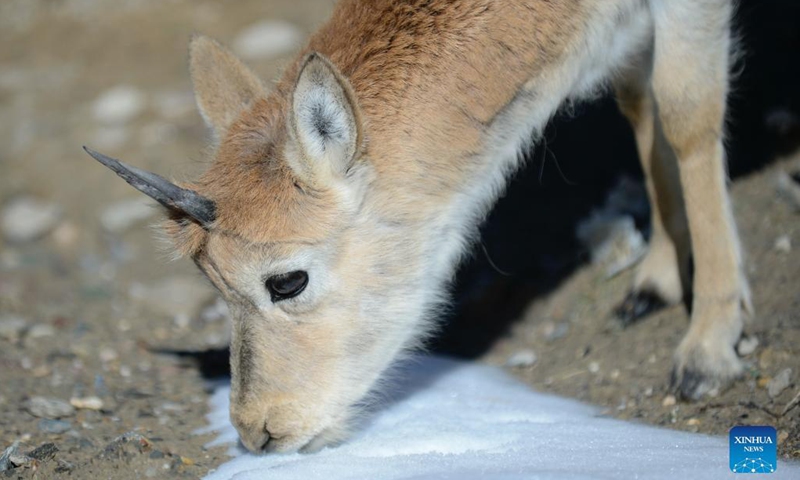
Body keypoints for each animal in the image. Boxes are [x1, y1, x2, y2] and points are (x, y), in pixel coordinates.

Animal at [86, 0, 752, 453]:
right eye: (213, 285)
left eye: (287, 281)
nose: (259, 431)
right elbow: (640, 101)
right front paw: (657, 279)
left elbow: (685, 111)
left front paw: (709, 347)